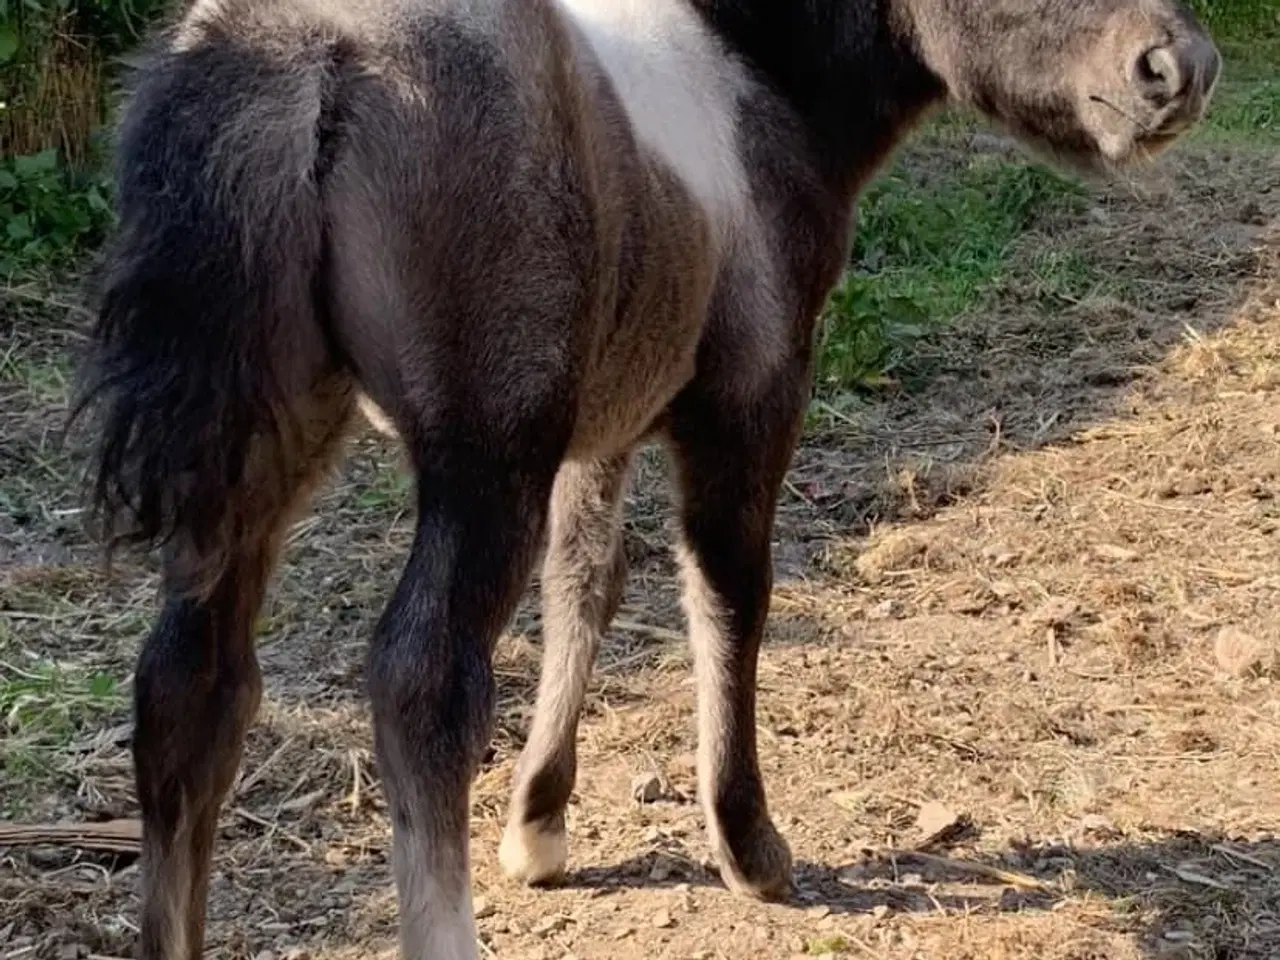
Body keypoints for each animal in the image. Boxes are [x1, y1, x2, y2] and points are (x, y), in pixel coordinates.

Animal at [77, 0, 1218, 957]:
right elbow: (728, 597)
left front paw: (538, 826)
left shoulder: (605, 426)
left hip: (262, 450)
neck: (754, 74)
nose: (1179, 67)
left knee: (189, 685)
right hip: (483, 455)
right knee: (419, 682)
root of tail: (302, 59)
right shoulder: (747, 403)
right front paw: (749, 847)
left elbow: (586, 586)